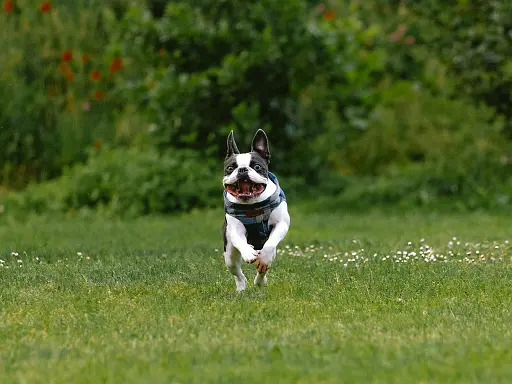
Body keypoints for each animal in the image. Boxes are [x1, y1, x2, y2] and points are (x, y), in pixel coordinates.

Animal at [222, 129, 290, 292]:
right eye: (230, 168)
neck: (252, 206)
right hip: (229, 255)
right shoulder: (234, 229)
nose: (242, 169)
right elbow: (240, 240)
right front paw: (248, 253)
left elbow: (269, 246)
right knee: (237, 273)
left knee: (263, 268)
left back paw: (260, 281)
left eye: (257, 167)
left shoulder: (281, 224)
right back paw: (241, 288)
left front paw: (263, 258)